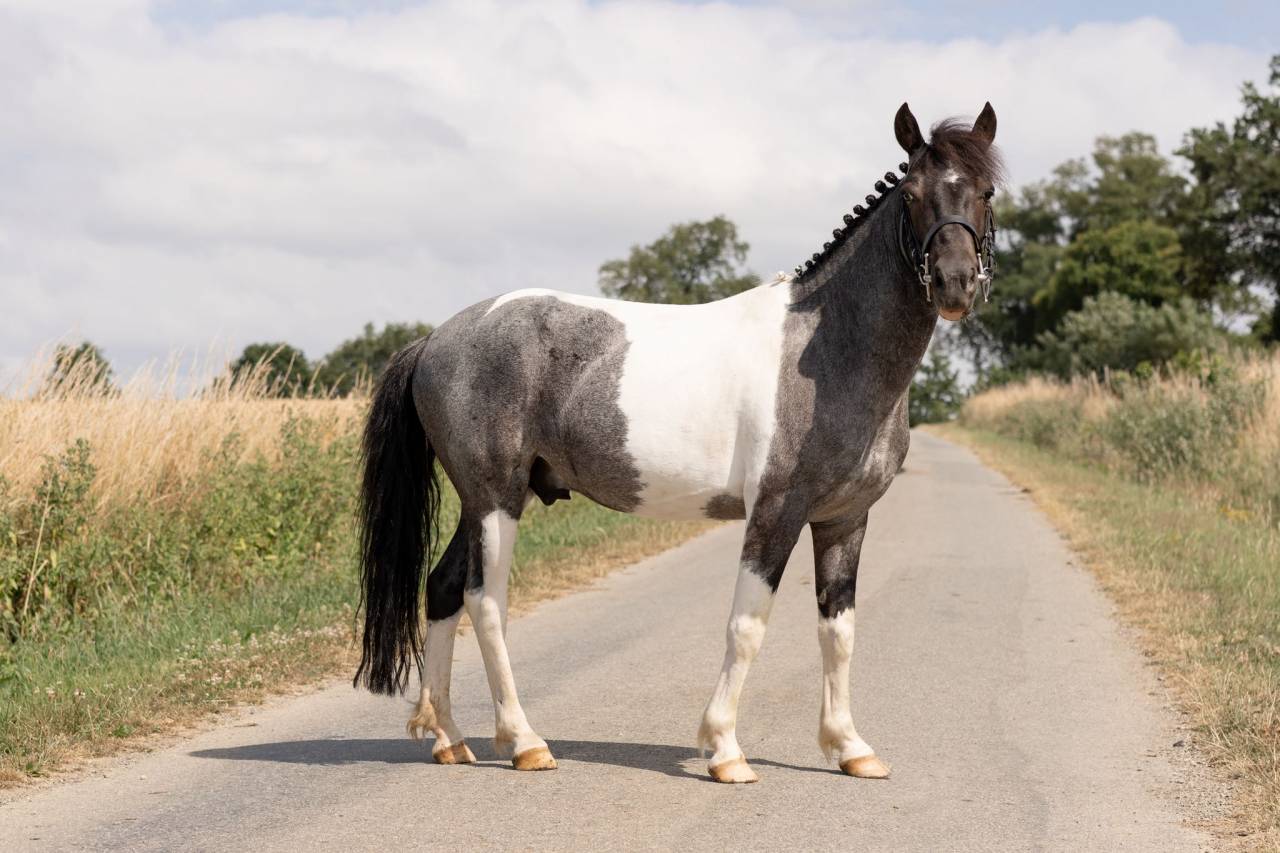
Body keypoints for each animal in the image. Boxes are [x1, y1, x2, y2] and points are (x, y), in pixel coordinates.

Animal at [354, 102, 1004, 784]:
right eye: (912, 195)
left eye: (986, 191)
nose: (955, 284)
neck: (828, 353)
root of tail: (437, 338)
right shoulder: (777, 511)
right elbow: (747, 626)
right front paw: (725, 750)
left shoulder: (844, 520)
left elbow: (839, 630)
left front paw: (850, 748)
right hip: (494, 501)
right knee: (485, 601)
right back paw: (525, 741)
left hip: (489, 500)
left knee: (443, 589)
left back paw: (449, 737)